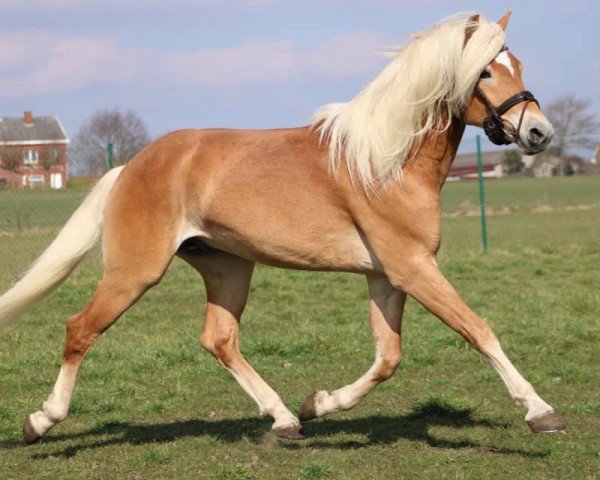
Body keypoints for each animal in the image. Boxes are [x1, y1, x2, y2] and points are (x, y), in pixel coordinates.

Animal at [0, 12, 568, 446]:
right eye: (485, 72)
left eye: (517, 64)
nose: (540, 132)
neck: (385, 162)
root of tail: (132, 165)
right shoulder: (412, 267)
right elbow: (479, 330)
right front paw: (540, 411)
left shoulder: (386, 276)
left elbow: (388, 358)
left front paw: (318, 402)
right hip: (134, 271)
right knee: (80, 329)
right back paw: (39, 422)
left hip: (229, 268)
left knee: (218, 339)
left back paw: (286, 419)